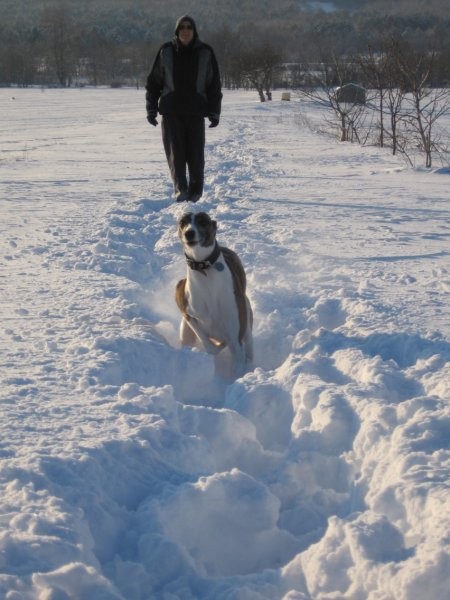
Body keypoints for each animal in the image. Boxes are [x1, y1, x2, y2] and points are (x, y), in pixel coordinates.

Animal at [175, 212, 253, 380]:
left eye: (203, 222)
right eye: (182, 222)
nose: (189, 233)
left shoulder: (235, 338)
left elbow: (237, 362)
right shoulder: (187, 312)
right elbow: (207, 343)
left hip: (247, 320)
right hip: (185, 332)